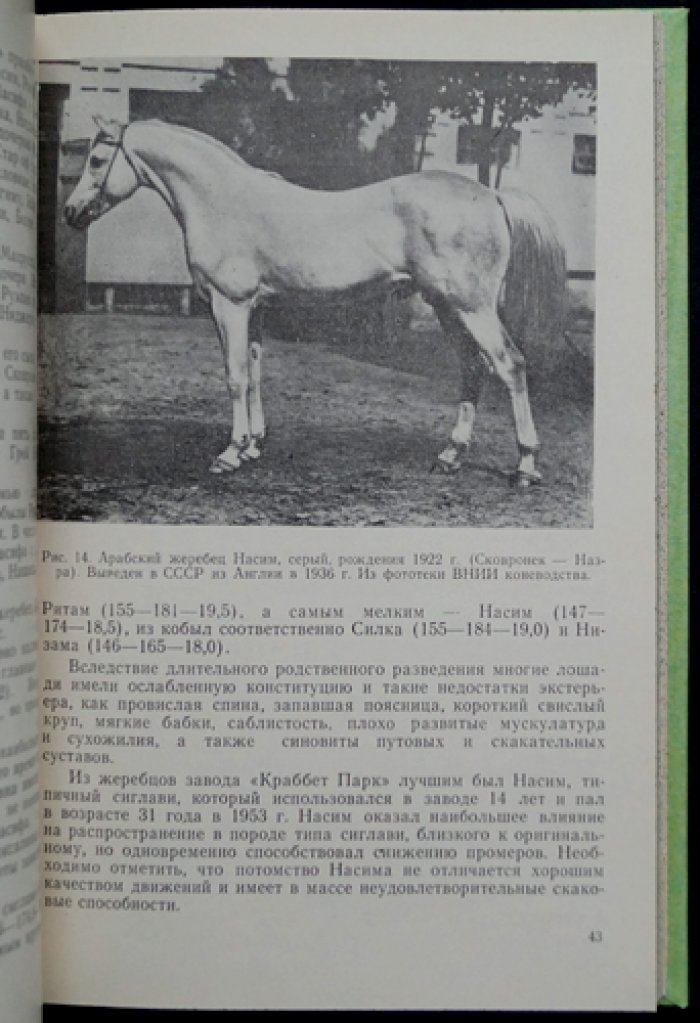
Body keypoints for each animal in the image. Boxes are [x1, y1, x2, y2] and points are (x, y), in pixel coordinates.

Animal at [64, 116, 566, 485]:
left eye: (97, 159)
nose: (71, 213)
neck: (223, 200)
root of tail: (493, 194)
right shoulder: (255, 310)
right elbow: (255, 375)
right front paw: (253, 446)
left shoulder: (230, 305)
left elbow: (234, 377)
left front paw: (229, 452)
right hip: (446, 306)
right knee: (472, 368)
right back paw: (450, 455)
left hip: (472, 307)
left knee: (510, 365)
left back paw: (524, 465)